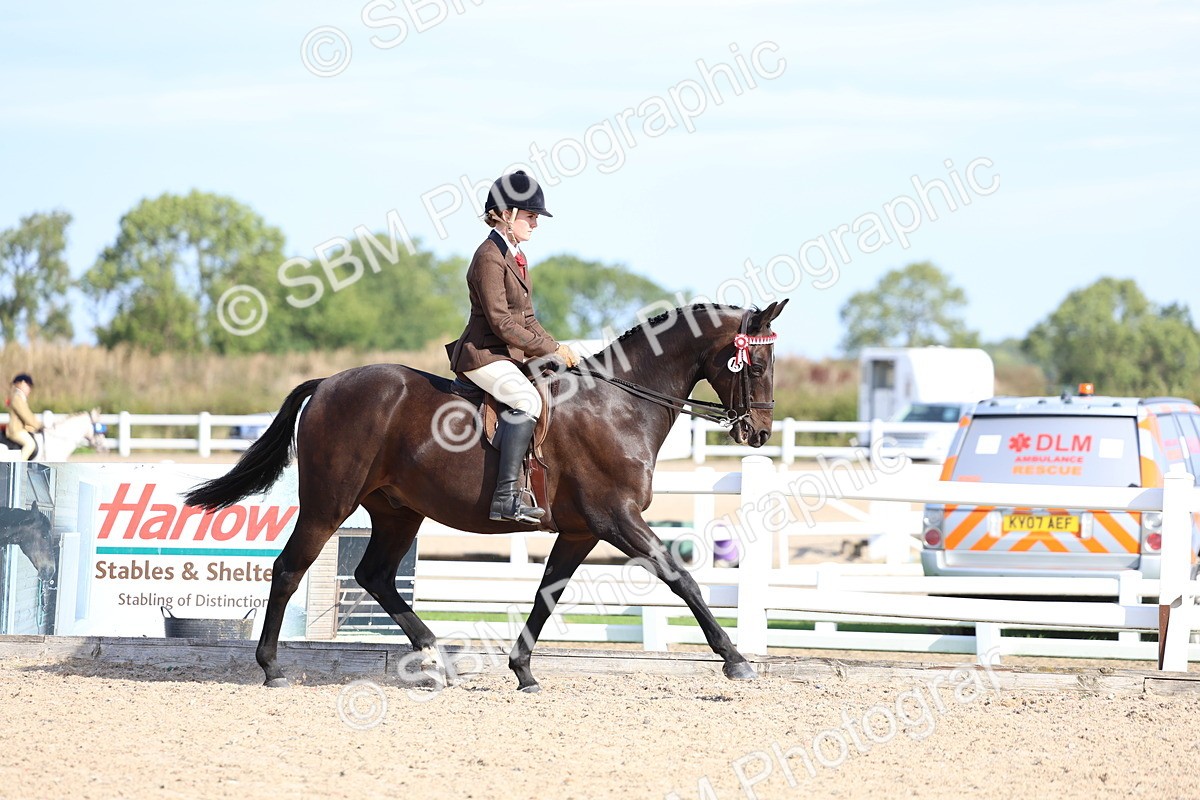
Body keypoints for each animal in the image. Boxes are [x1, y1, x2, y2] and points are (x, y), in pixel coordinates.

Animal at [185, 301, 788, 691]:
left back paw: (437, 661)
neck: (619, 404)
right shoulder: (617, 519)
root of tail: (329, 383)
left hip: (398, 511)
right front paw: (735, 659)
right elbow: (682, 579)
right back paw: (272, 668)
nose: (759, 433)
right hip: (329, 503)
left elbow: (548, 594)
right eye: (755, 362)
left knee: (375, 576)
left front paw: (523, 671)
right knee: (290, 568)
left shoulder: (580, 530)